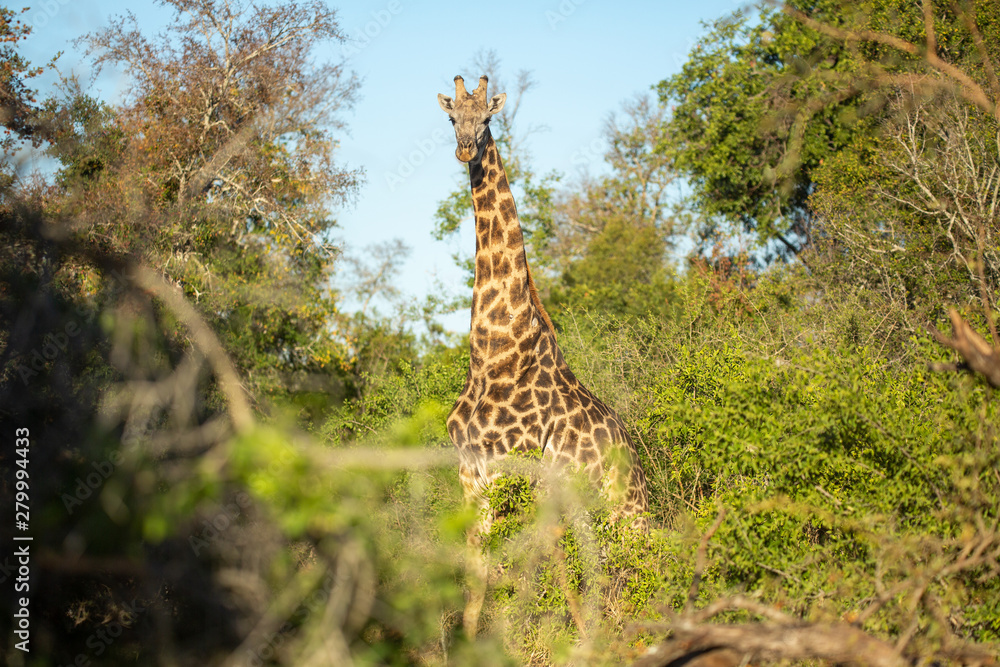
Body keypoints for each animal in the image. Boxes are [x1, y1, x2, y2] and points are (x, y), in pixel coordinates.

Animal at [437, 75, 650, 637]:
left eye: (487, 117)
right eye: (451, 117)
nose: (465, 148)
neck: (493, 351)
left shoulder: (521, 471)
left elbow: (534, 569)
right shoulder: (470, 473)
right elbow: (478, 574)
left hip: (624, 521)